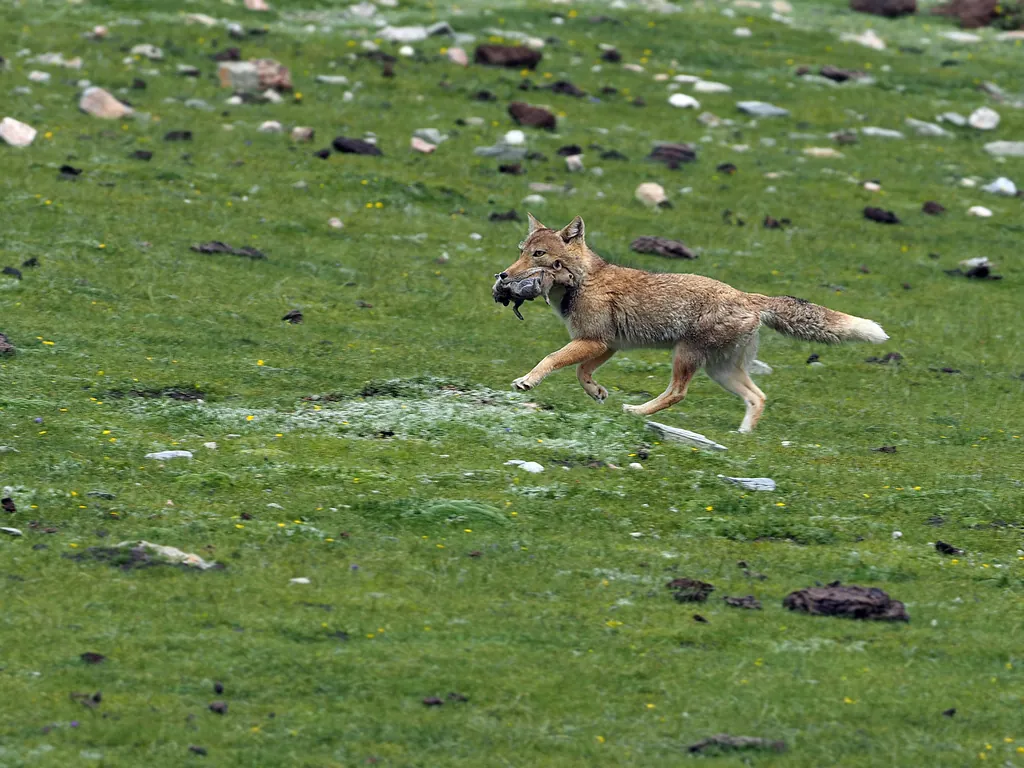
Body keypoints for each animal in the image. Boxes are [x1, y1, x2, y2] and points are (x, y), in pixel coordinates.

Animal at [494, 213, 888, 432]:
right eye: (520, 251)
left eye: (539, 255)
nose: (503, 276)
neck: (583, 280)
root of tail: (748, 297)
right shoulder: (607, 344)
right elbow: (581, 372)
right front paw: (597, 392)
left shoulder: (595, 341)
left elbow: (551, 360)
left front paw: (528, 381)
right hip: (721, 371)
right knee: (758, 397)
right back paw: (743, 435)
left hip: (685, 357)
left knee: (677, 393)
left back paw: (637, 411)